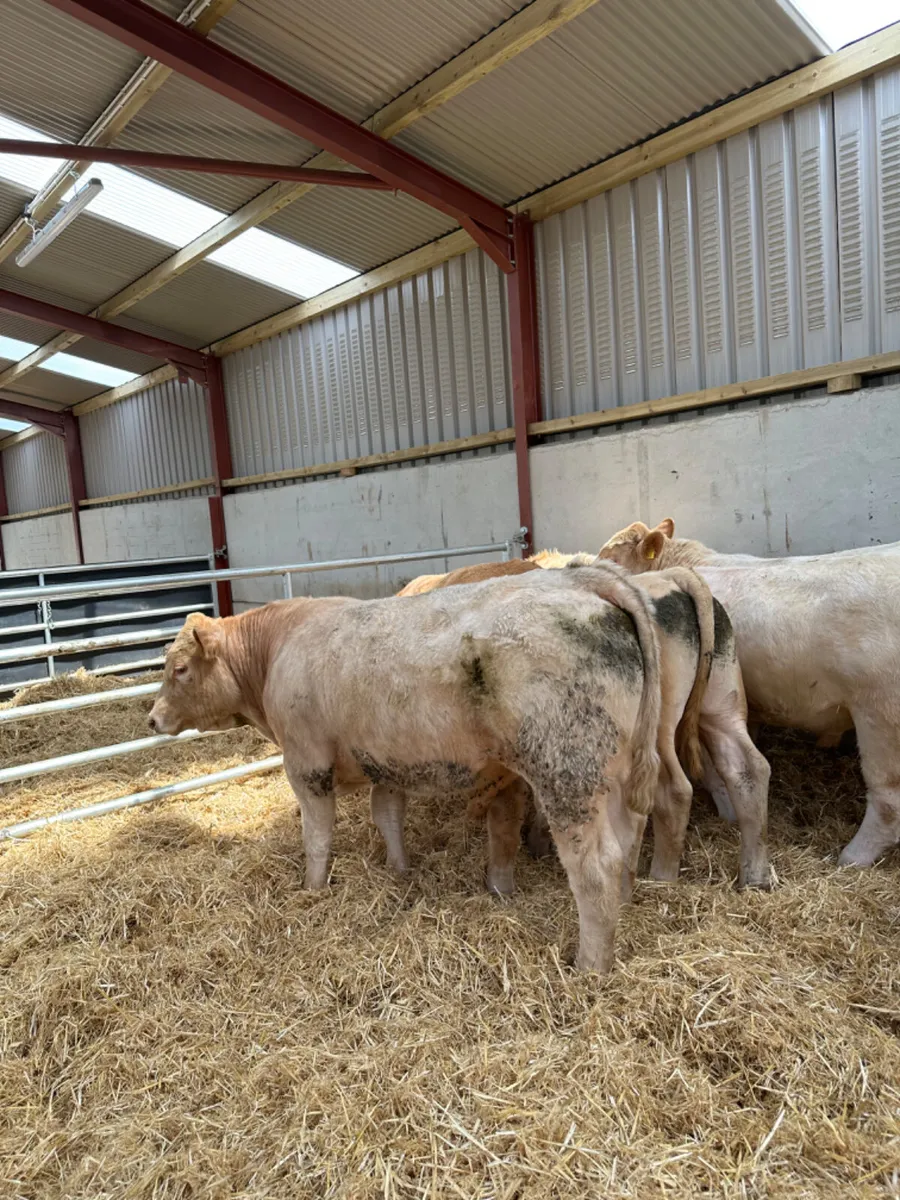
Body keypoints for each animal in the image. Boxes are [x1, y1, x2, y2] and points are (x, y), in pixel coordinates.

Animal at [148, 567, 664, 974]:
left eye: (180, 669)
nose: (152, 719)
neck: (277, 647)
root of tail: (581, 579)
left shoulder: (306, 762)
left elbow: (317, 835)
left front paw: (312, 889)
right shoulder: (385, 762)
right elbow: (387, 817)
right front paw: (399, 871)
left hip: (567, 772)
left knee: (594, 865)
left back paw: (590, 966)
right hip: (614, 773)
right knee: (628, 838)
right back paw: (623, 907)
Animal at [598, 518, 900, 867]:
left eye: (612, 560)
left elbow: (712, 768)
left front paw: (727, 810)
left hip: (879, 712)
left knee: (887, 795)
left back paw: (853, 856)